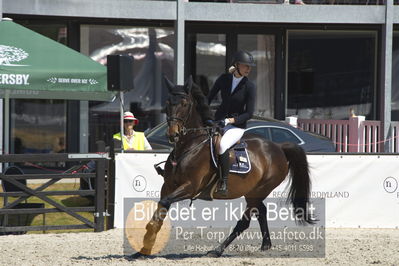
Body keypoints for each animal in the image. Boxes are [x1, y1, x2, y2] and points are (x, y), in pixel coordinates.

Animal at [134, 76, 316, 258]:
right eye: (167, 103)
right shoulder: (168, 186)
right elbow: (160, 212)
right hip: (252, 192)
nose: (173, 134)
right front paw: (143, 250)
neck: (189, 146)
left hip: (260, 190)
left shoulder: (190, 187)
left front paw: (145, 246)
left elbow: (164, 204)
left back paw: (217, 250)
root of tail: (278, 147)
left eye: (184, 104)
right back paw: (265, 244)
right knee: (261, 211)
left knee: (245, 221)